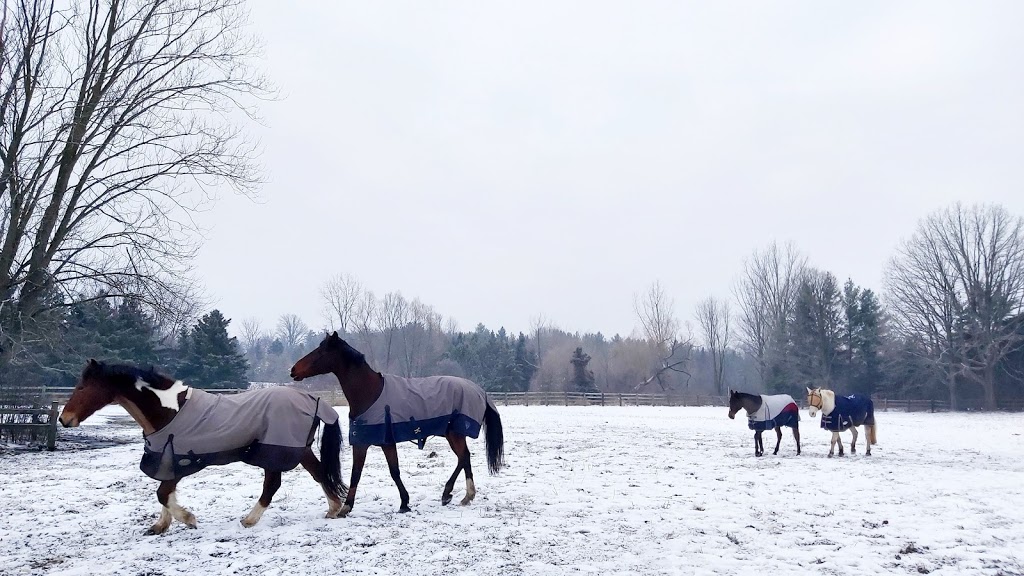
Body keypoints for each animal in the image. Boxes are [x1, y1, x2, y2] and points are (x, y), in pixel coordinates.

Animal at [59, 360, 348, 532]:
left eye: (83, 387)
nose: (64, 419)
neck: (170, 411)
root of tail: (312, 399)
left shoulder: (183, 460)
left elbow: (163, 493)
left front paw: (188, 519)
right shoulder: (169, 460)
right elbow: (165, 492)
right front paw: (160, 525)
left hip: (275, 451)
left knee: (272, 485)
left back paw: (249, 520)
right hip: (300, 449)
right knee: (319, 473)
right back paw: (334, 509)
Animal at [290, 332, 505, 516]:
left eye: (321, 351)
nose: (293, 370)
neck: (370, 393)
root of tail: (479, 390)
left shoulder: (377, 442)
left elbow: (381, 473)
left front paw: (348, 507)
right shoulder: (368, 442)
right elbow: (366, 472)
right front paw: (401, 502)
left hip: (455, 433)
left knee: (463, 457)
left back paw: (455, 494)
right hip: (453, 434)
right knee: (464, 458)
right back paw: (459, 495)